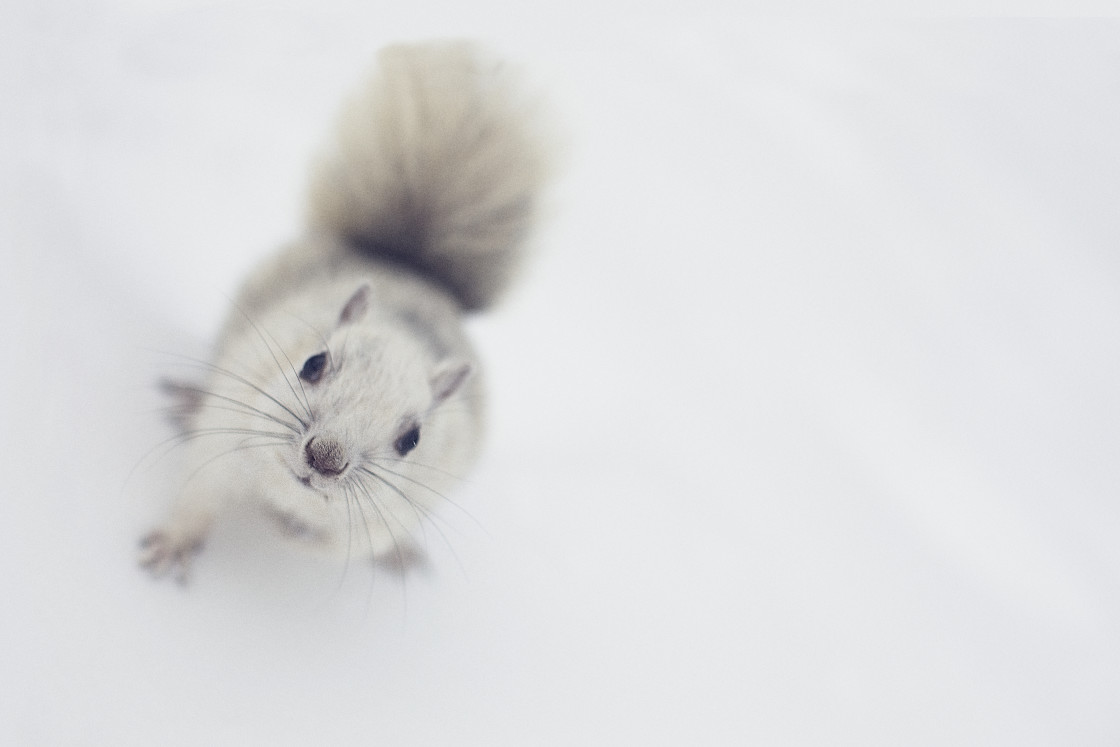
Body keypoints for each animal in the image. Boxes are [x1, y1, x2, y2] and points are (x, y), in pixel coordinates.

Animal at [140, 40, 551, 582]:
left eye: (413, 439)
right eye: (312, 364)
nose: (325, 459)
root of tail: (404, 265)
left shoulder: (388, 516)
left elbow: (339, 547)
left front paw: (290, 526)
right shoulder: (225, 435)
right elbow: (198, 495)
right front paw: (172, 546)